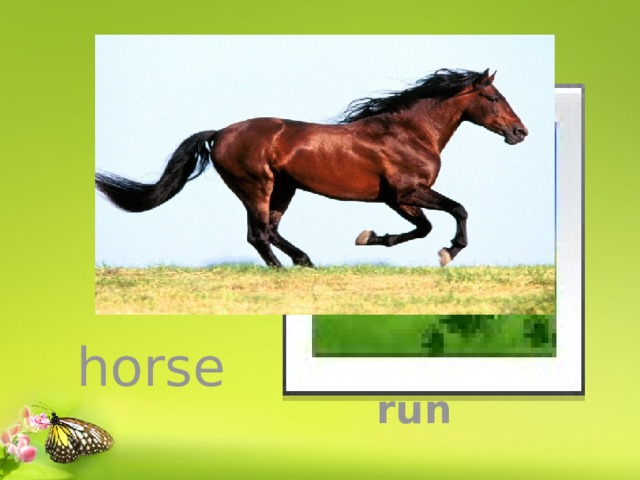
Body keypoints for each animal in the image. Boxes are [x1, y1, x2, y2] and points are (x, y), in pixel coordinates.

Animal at [96, 68, 528, 268]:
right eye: (493, 96)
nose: (520, 132)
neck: (409, 132)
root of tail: (219, 133)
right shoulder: (406, 192)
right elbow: (455, 211)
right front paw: (448, 252)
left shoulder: (396, 199)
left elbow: (424, 227)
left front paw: (370, 237)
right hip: (256, 186)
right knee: (258, 233)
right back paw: (287, 268)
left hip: (284, 188)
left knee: (269, 230)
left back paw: (303, 261)